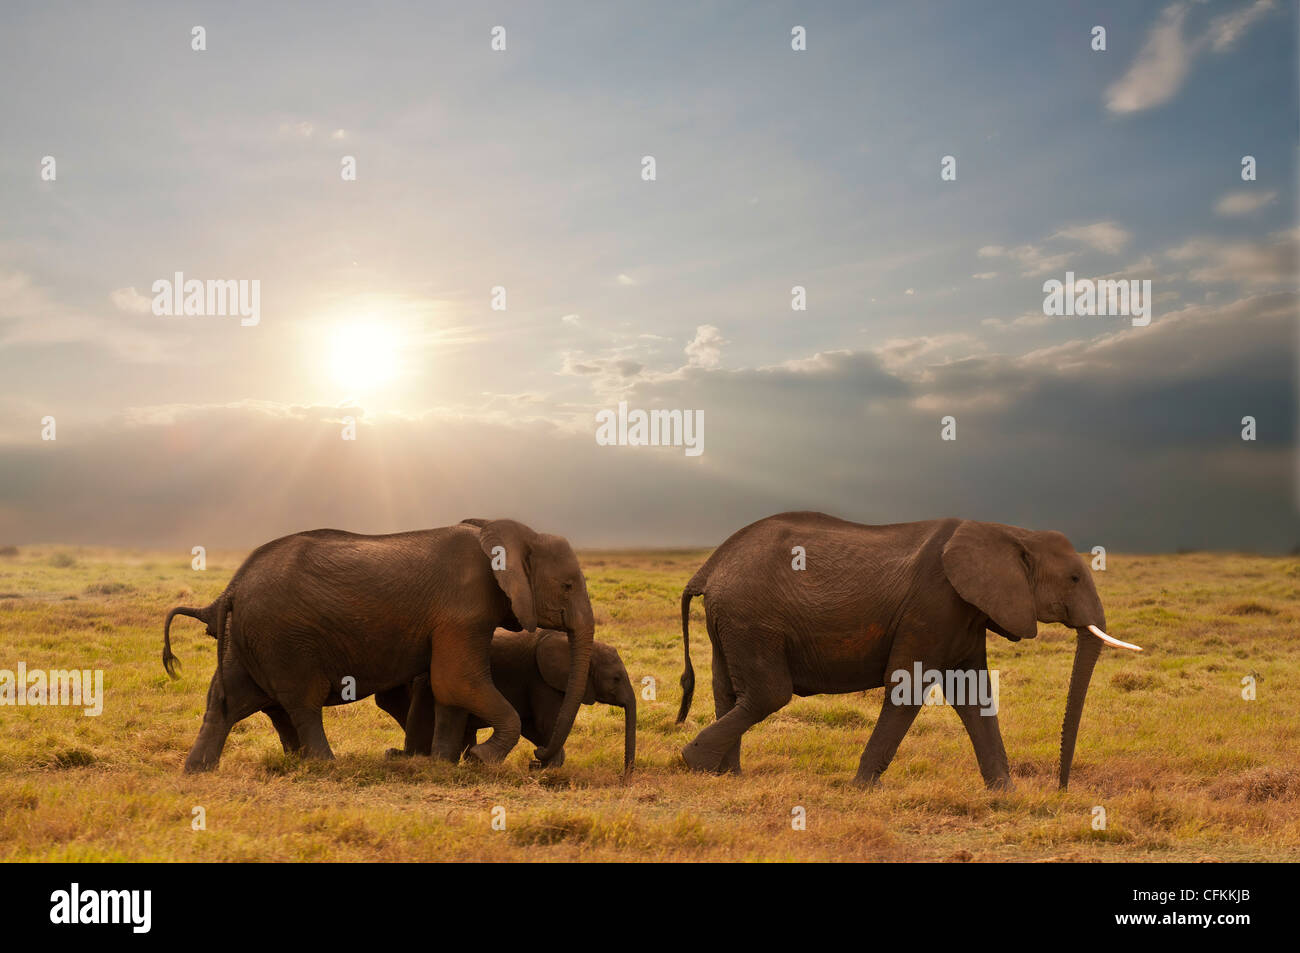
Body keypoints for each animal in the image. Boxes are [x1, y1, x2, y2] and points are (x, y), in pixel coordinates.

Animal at [158, 520, 598, 774]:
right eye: (568, 585)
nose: (538, 761)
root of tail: (229, 590)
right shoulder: (463, 610)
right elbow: (458, 681)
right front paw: (479, 760)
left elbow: (450, 689)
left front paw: (442, 764)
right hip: (283, 636)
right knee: (301, 701)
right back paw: (324, 765)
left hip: (247, 636)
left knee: (231, 700)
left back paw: (200, 770)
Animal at [374, 631, 637, 774]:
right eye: (615, 679)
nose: (625, 777)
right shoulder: (542, 679)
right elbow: (546, 722)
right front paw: (545, 768)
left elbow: (533, 724)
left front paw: (540, 766)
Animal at [676, 512, 1144, 790]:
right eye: (1074, 579)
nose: (1060, 790)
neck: (1010, 532)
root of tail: (710, 567)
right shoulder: (935, 606)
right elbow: (908, 689)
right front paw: (862, 789)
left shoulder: (965, 613)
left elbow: (973, 696)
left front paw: (1005, 794)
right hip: (753, 618)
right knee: (768, 694)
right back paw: (695, 762)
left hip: (731, 621)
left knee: (729, 691)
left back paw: (728, 776)